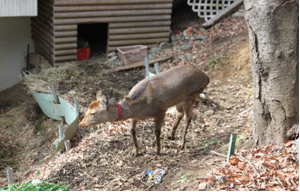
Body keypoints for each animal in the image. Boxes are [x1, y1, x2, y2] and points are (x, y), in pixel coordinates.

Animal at [79, 65, 211, 156]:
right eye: (87, 111)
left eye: (93, 113)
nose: (80, 124)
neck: (138, 108)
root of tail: (206, 77)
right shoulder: (135, 117)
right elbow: (132, 131)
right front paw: (136, 151)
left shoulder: (160, 111)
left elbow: (157, 131)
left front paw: (157, 150)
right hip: (179, 99)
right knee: (180, 113)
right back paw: (171, 135)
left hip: (190, 96)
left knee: (188, 117)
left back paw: (182, 143)